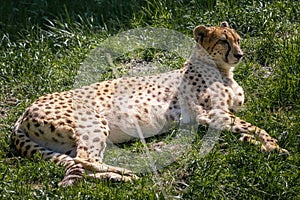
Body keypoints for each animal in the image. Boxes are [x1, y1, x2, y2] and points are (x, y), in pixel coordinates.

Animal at [12, 21, 288, 186]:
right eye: (223, 41)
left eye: (238, 39)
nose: (240, 55)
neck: (221, 70)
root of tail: (24, 112)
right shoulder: (209, 114)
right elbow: (254, 126)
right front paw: (273, 145)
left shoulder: (224, 112)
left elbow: (246, 125)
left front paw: (255, 143)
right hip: (93, 122)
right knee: (83, 160)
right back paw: (128, 173)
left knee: (82, 165)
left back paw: (118, 178)